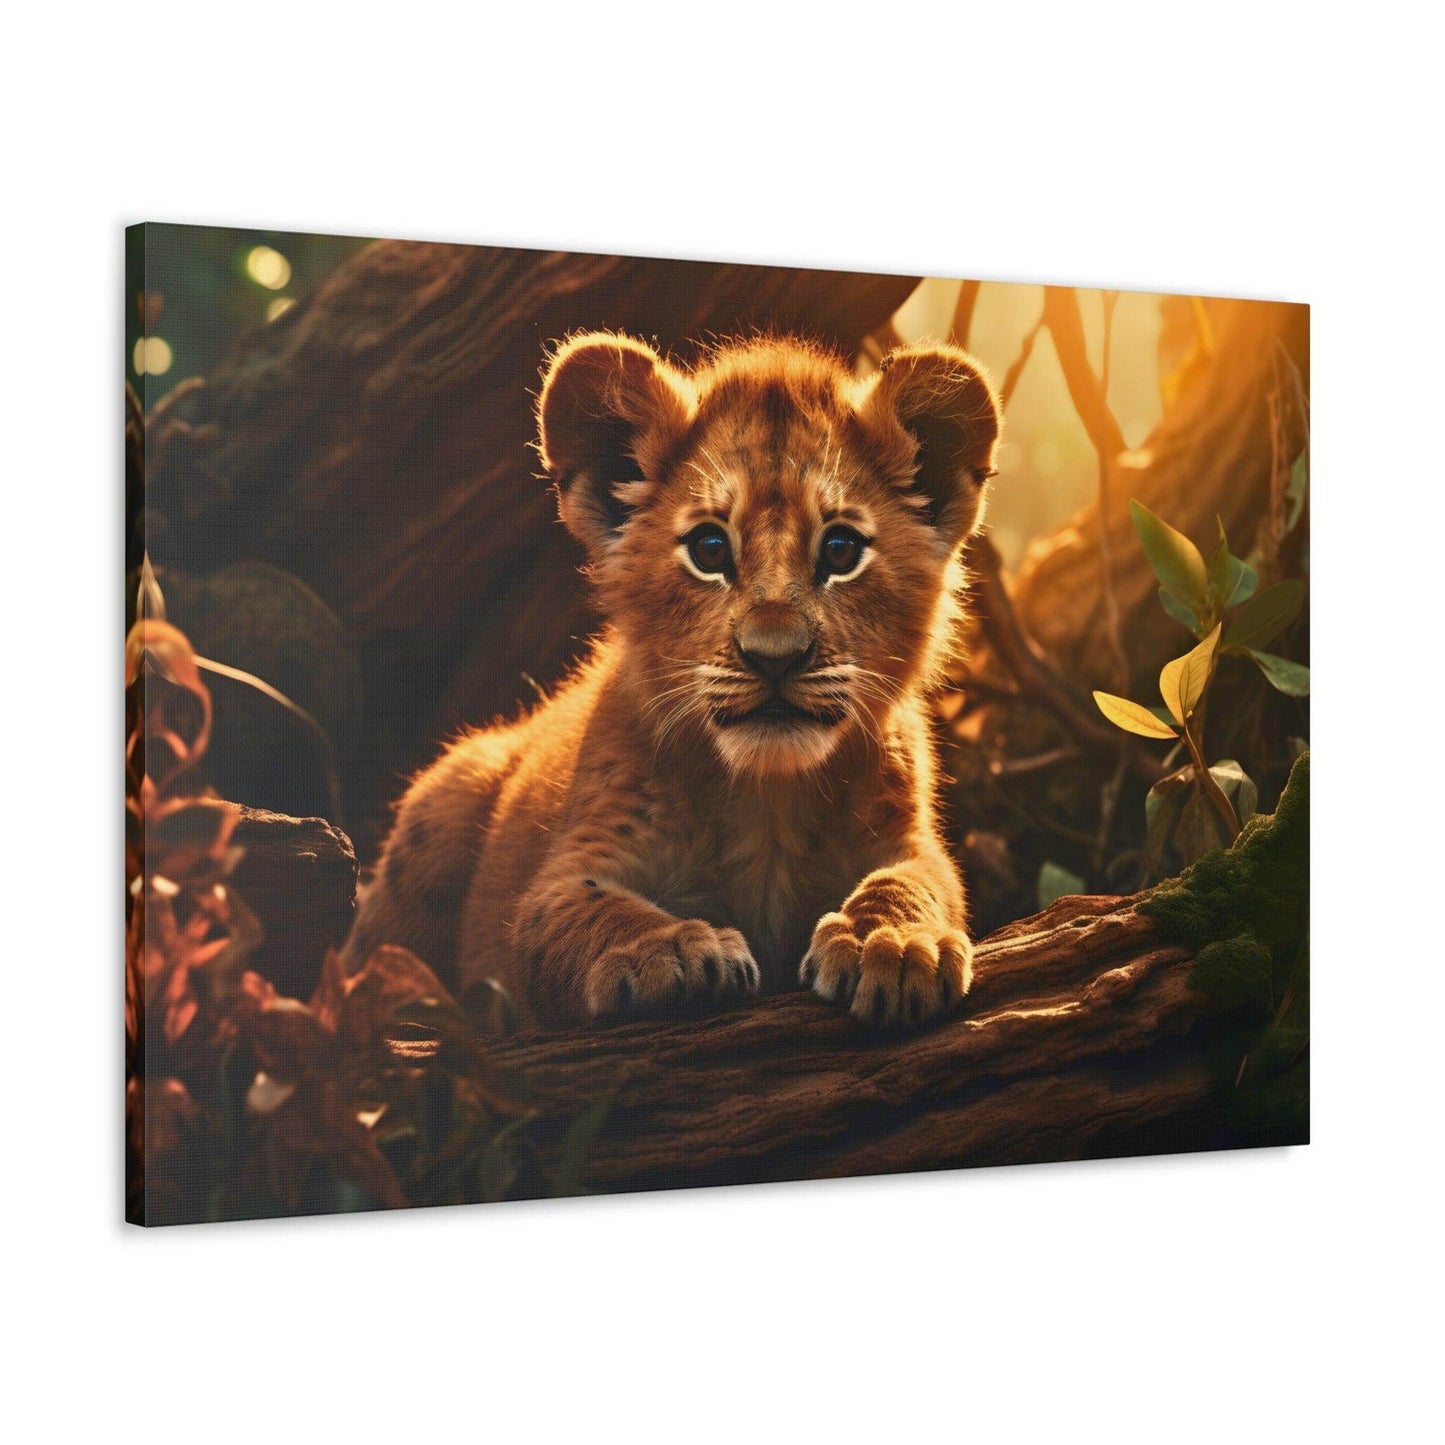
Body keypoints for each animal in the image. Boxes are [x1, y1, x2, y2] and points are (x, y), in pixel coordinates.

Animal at [343, 330, 1002, 1029]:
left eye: (841, 550)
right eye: (710, 550)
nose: (775, 656)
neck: (767, 800)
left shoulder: (908, 840)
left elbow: (914, 882)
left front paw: (893, 942)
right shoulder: (566, 870)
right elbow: (592, 910)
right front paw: (674, 949)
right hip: (446, 794)